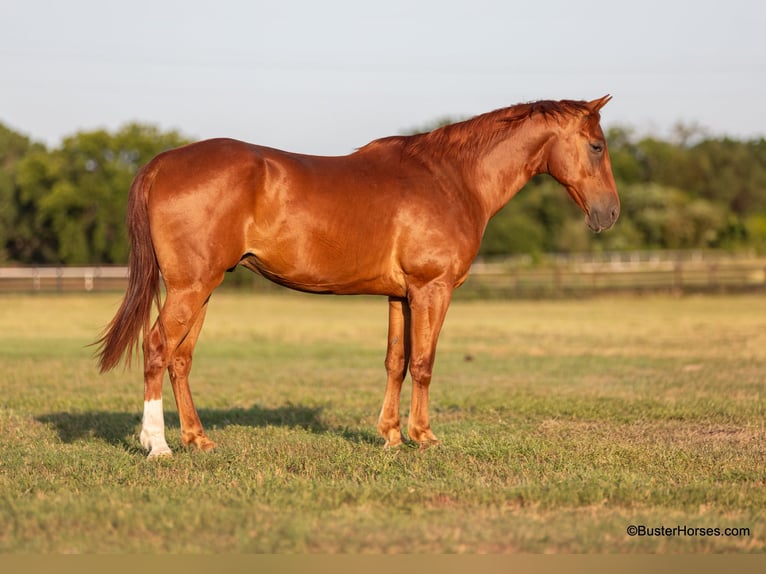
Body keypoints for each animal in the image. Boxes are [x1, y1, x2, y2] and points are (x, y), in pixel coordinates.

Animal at [97, 96, 619, 458]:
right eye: (596, 146)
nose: (609, 213)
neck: (451, 178)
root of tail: (162, 162)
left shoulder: (400, 296)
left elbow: (396, 362)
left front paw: (391, 437)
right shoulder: (432, 290)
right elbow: (424, 362)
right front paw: (424, 437)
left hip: (202, 288)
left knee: (181, 360)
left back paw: (199, 440)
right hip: (191, 288)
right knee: (157, 348)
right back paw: (158, 445)